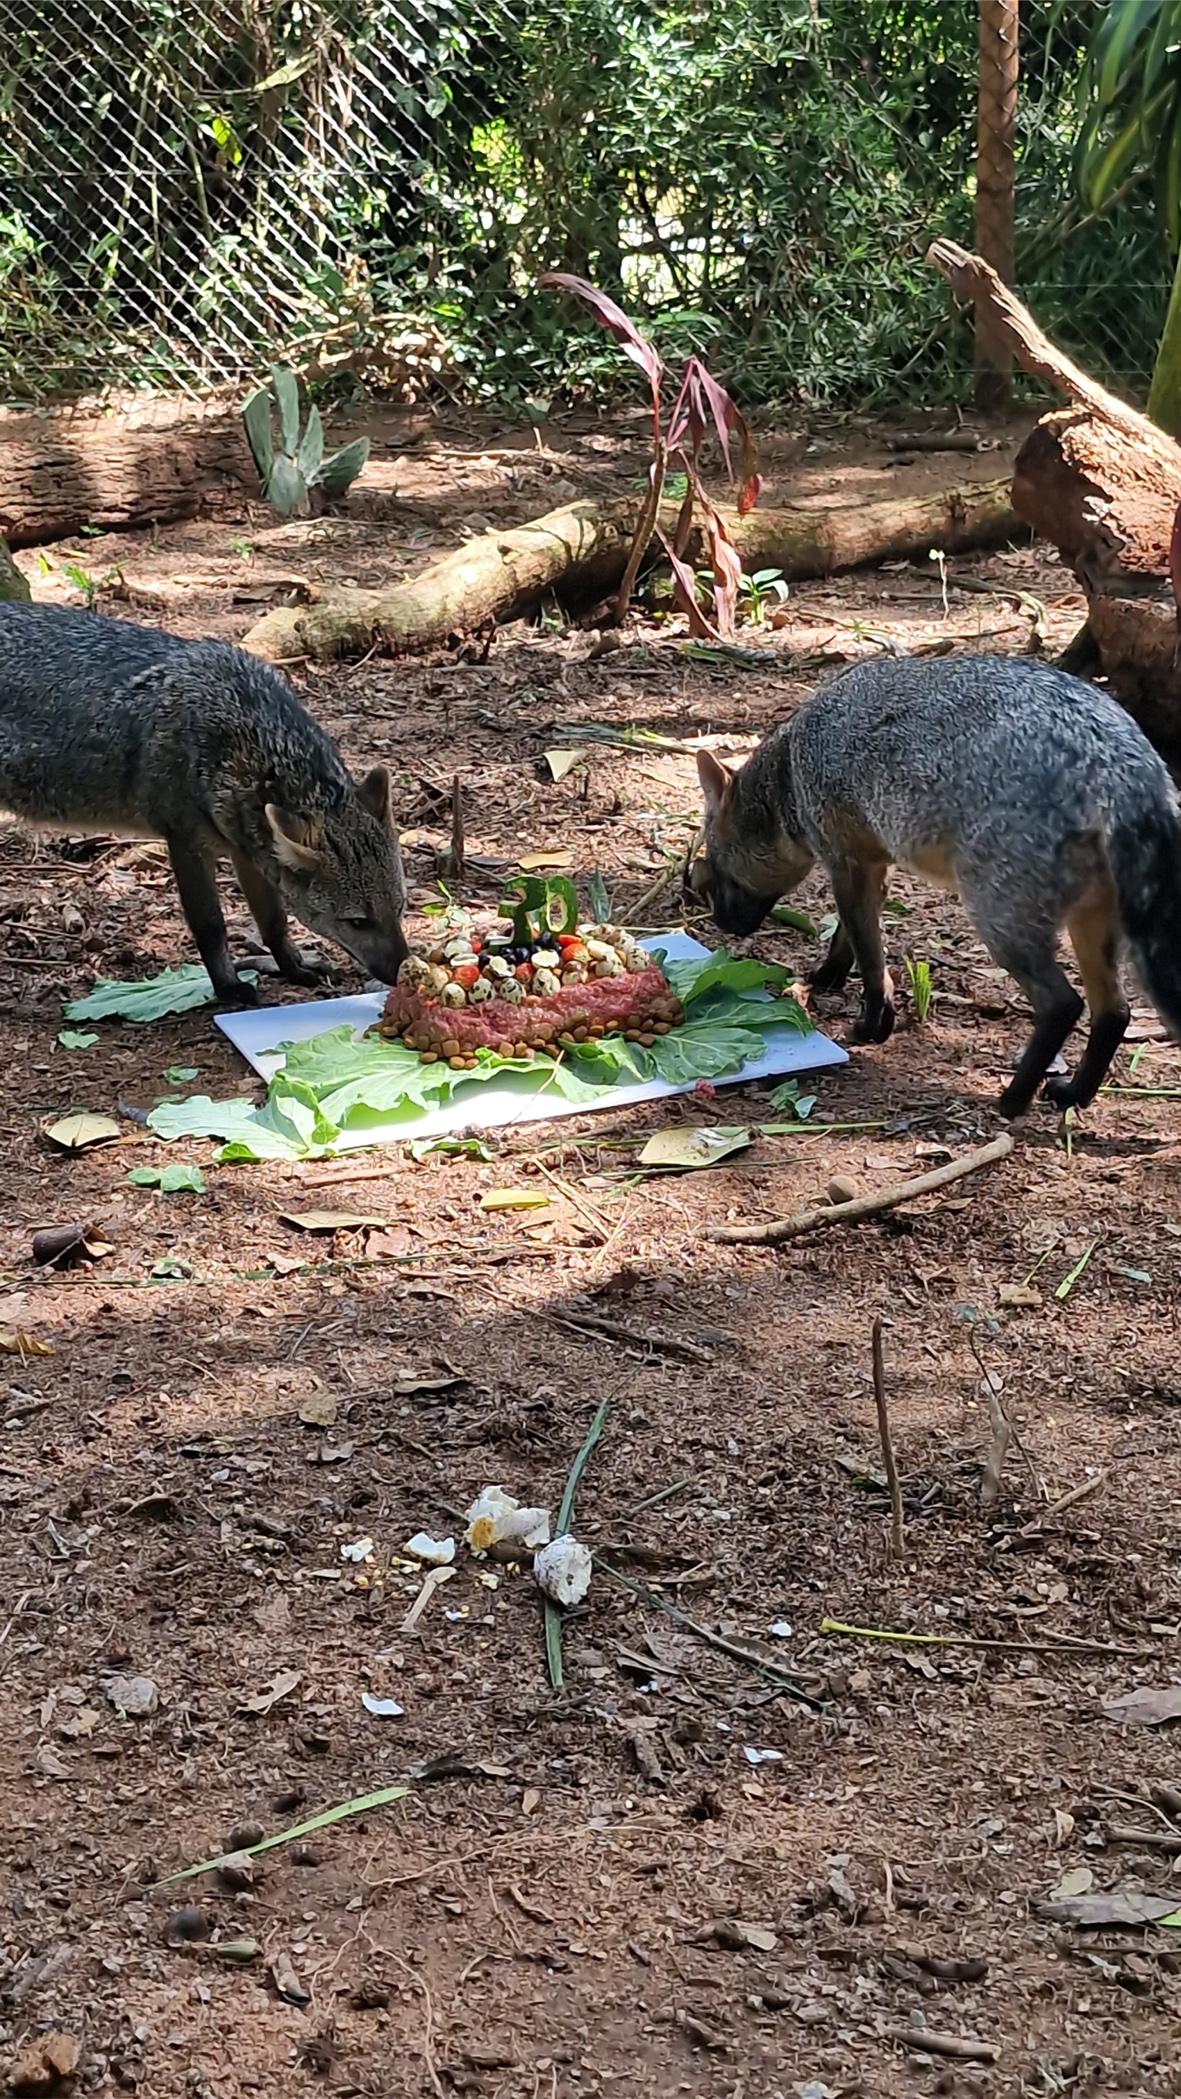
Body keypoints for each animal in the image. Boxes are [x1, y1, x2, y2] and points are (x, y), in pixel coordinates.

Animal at [0, 604, 411, 1003]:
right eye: (357, 921)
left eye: (400, 907)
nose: (402, 974)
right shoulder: (186, 842)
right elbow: (211, 926)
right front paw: (228, 987)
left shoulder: (245, 848)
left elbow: (273, 922)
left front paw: (293, 967)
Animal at [696, 654, 1181, 1125]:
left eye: (714, 870)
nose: (722, 923)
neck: (791, 765)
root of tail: (1115, 757)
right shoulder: (870, 863)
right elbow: (851, 939)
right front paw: (830, 975)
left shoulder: (846, 861)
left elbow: (871, 961)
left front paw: (871, 1025)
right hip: (1089, 926)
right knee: (1114, 1011)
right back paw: (1075, 1094)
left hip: (999, 921)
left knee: (1063, 1004)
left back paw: (1013, 1099)